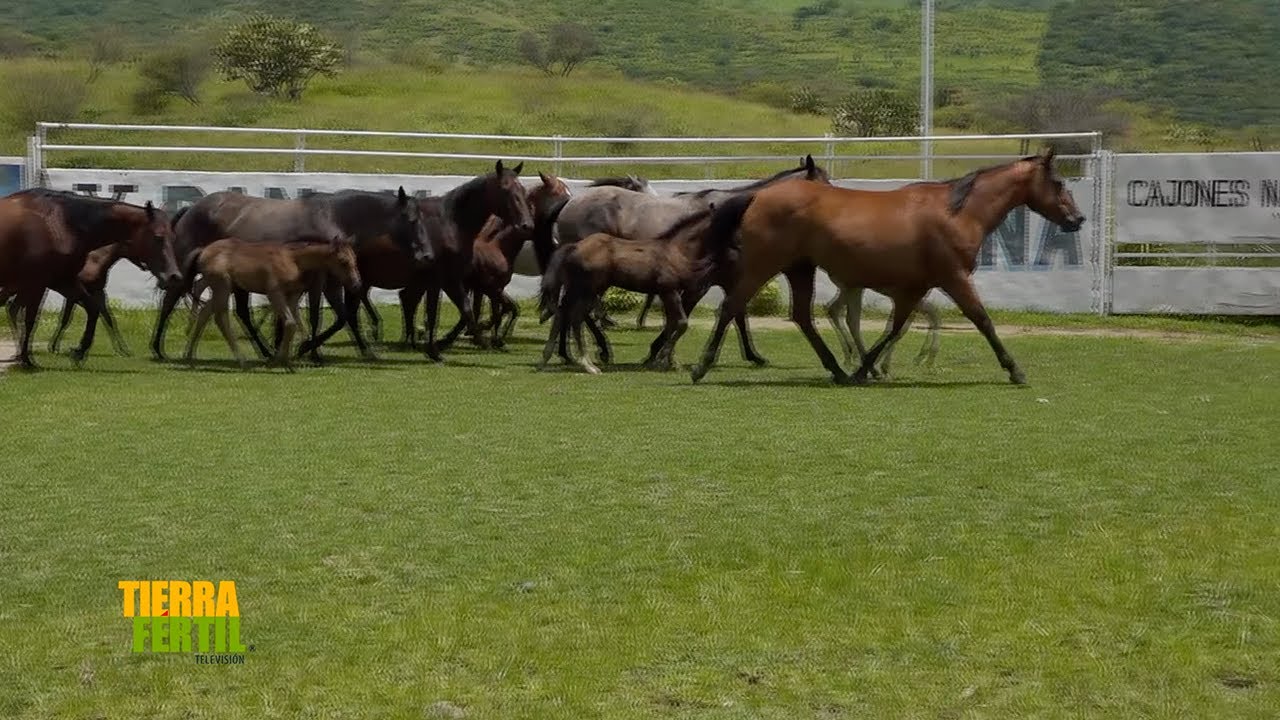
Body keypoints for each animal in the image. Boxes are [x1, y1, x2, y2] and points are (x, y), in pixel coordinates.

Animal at [0, 189, 181, 368]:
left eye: (173, 238)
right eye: (158, 237)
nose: (174, 276)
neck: (59, 223)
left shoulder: (64, 281)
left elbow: (93, 310)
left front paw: (79, 352)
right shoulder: (38, 283)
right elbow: (31, 320)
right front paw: (27, 360)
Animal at [184, 238, 362, 372]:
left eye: (355, 259)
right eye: (343, 261)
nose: (356, 285)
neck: (294, 260)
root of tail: (203, 251)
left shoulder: (292, 297)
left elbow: (293, 324)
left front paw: (285, 359)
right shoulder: (274, 293)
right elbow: (290, 323)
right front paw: (282, 361)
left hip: (223, 287)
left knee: (205, 311)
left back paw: (190, 357)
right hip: (223, 286)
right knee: (220, 318)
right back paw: (242, 361)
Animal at [537, 203, 745, 374]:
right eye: (728, 225)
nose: (740, 247)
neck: (677, 251)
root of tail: (574, 246)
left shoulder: (668, 293)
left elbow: (671, 324)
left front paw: (668, 361)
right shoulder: (669, 290)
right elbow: (681, 323)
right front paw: (664, 359)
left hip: (580, 289)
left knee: (564, 312)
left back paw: (548, 357)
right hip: (589, 289)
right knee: (575, 317)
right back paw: (588, 365)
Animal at [688, 147, 1086, 386]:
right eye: (1058, 182)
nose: (1078, 219)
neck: (957, 212)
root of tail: (757, 196)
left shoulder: (914, 289)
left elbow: (894, 329)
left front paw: (865, 369)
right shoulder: (954, 278)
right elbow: (981, 319)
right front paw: (1015, 369)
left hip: (800, 269)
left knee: (802, 316)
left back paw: (837, 370)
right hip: (763, 266)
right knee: (731, 307)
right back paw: (701, 365)